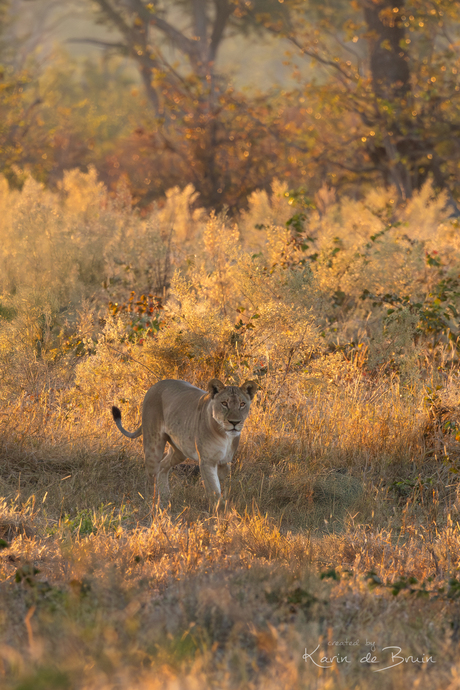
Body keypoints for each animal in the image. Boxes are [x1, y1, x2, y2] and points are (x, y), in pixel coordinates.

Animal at [112, 378, 258, 508]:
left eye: (242, 404)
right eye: (224, 403)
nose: (235, 422)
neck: (225, 436)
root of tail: (155, 385)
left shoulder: (225, 463)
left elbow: (221, 488)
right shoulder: (207, 461)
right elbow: (214, 490)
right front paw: (220, 514)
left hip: (180, 450)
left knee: (163, 466)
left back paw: (166, 496)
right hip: (153, 445)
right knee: (150, 475)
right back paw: (153, 503)